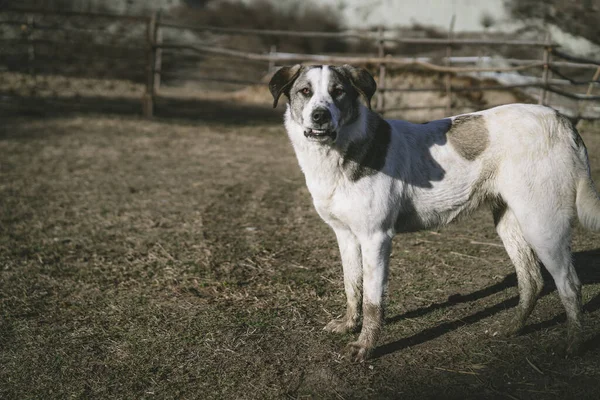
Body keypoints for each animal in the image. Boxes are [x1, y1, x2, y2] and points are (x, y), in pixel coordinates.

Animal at [268, 64, 600, 360]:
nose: (320, 115)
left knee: (569, 285)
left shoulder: (376, 238)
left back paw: (573, 345)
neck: (337, 153)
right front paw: (349, 325)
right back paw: (512, 329)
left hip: (543, 224)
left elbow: (373, 302)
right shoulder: (346, 236)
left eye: (338, 92)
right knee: (532, 281)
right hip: (511, 222)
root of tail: (562, 119)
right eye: (305, 92)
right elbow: (353, 287)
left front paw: (365, 347)